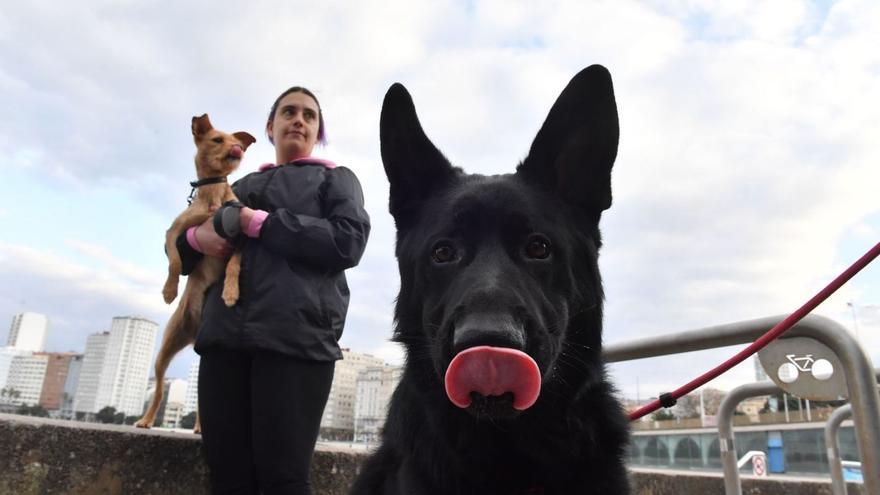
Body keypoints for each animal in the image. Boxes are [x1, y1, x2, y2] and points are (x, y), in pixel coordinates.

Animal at [136, 115, 254, 430]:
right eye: (217, 139)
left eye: (237, 143)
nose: (238, 149)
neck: (213, 194)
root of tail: (193, 332)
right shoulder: (175, 232)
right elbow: (176, 261)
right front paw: (169, 290)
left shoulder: (239, 239)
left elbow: (234, 265)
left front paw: (230, 292)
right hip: (164, 352)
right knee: (159, 389)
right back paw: (147, 419)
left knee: (204, 399)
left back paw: (200, 426)